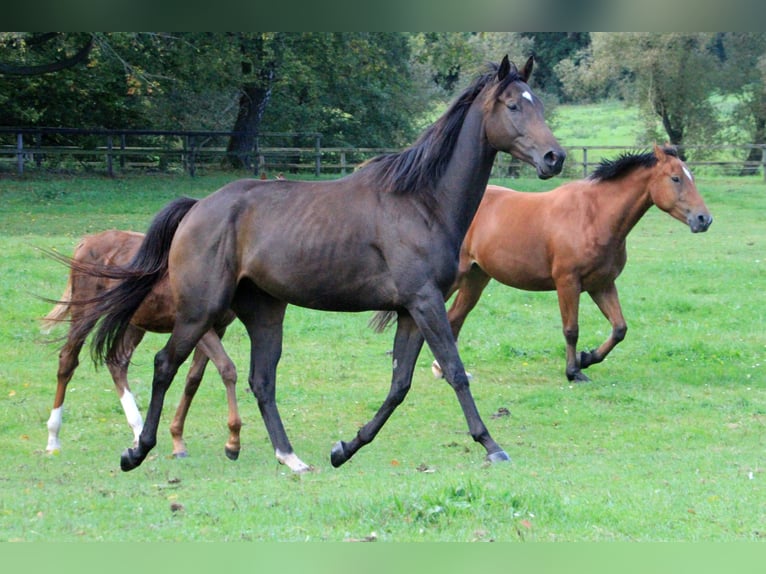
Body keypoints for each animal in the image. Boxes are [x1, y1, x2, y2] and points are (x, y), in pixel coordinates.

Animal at [42, 230, 240, 460]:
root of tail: (86, 242)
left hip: (133, 322)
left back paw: (138, 432)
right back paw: (53, 438)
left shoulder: (218, 328)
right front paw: (232, 441)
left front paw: (177, 439)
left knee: (117, 362)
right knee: (68, 361)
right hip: (85, 311)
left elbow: (193, 379)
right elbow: (227, 368)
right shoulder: (199, 327)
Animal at [81, 56, 568, 474]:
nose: (554, 158)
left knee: (262, 380)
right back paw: (137, 451)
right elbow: (453, 371)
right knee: (166, 364)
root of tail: (198, 207)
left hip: (263, 312)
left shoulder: (411, 311)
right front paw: (492, 445)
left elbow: (399, 385)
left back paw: (290, 457)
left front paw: (345, 448)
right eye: (512, 105)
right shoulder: (425, 302)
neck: (422, 201)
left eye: (539, 104)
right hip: (201, 310)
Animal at [432, 146, 712, 384]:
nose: (704, 219)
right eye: (675, 178)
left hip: (476, 278)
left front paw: (586, 358)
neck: (593, 216)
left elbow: (619, 328)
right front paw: (573, 372)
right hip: (455, 277)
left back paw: (446, 372)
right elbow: (571, 329)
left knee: (454, 318)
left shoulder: (602, 284)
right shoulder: (568, 283)